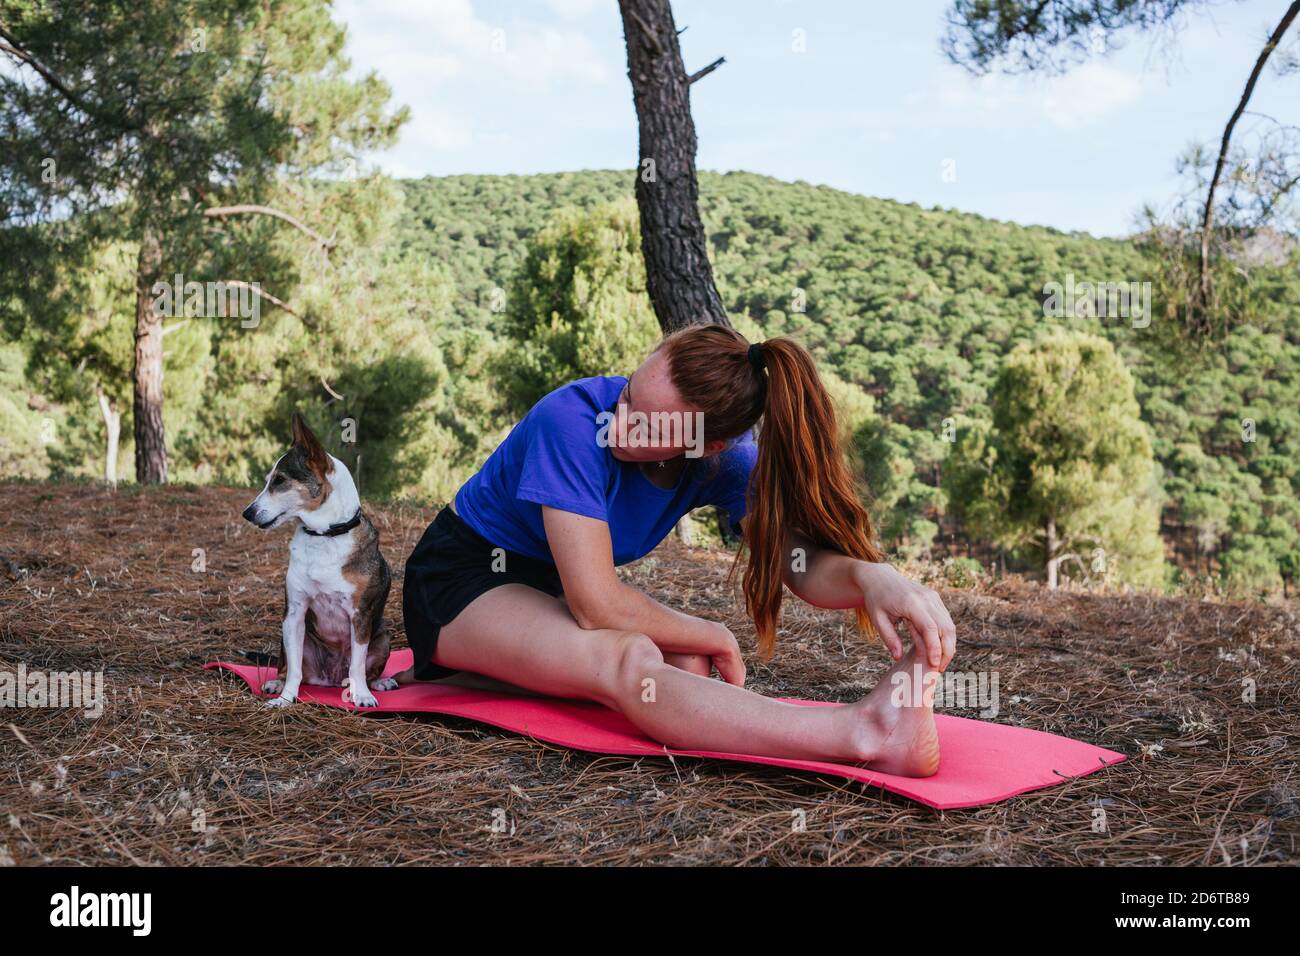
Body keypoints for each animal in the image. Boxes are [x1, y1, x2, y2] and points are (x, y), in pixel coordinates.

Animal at [243, 416, 395, 707]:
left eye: (280, 480)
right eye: (270, 480)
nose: (247, 513)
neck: (323, 535)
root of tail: (331, 680)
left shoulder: (361, 616)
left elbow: (358, 665)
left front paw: (362, 695)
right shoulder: (294, 613)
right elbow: (294, 669)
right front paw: (286, 698)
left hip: (382, 636)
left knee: (364, 669)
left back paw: (377, 683)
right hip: (289, 635)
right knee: (287, 665)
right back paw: (276, 682)